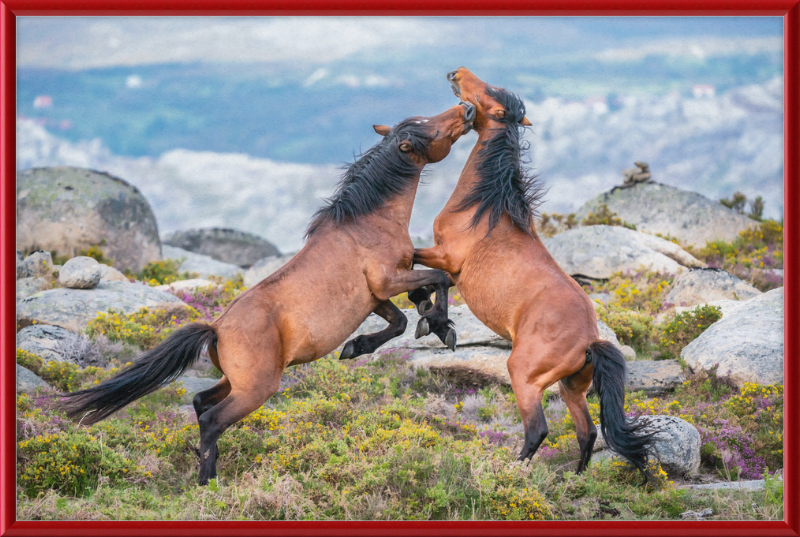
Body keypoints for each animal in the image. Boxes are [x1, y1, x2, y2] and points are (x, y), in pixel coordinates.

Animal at [64, 101, 476, 486]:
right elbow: (439, 280)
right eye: (431, 128)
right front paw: (441, 326)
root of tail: (217, 328)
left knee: (199, 402)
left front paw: (361, 345)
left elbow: (403, 318)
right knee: (211, 419)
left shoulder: (375, 297)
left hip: (234, 382)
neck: (368, 222)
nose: (467, 109)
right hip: (255, 389)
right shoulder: (387, 281)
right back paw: (207, 481)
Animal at [412, 68, 656, 482]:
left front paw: (433, 323)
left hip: (524, 376)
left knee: (538, 429)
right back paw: (574, 479)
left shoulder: (446, 257)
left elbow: (422, 271)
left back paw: (508, 473)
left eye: (488, 94)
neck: (485, 207)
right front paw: (436, 325)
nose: (456, 74)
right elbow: (431, 281)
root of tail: (589, 341)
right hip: (572, 388)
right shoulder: (450, 267)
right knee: (588, 431)